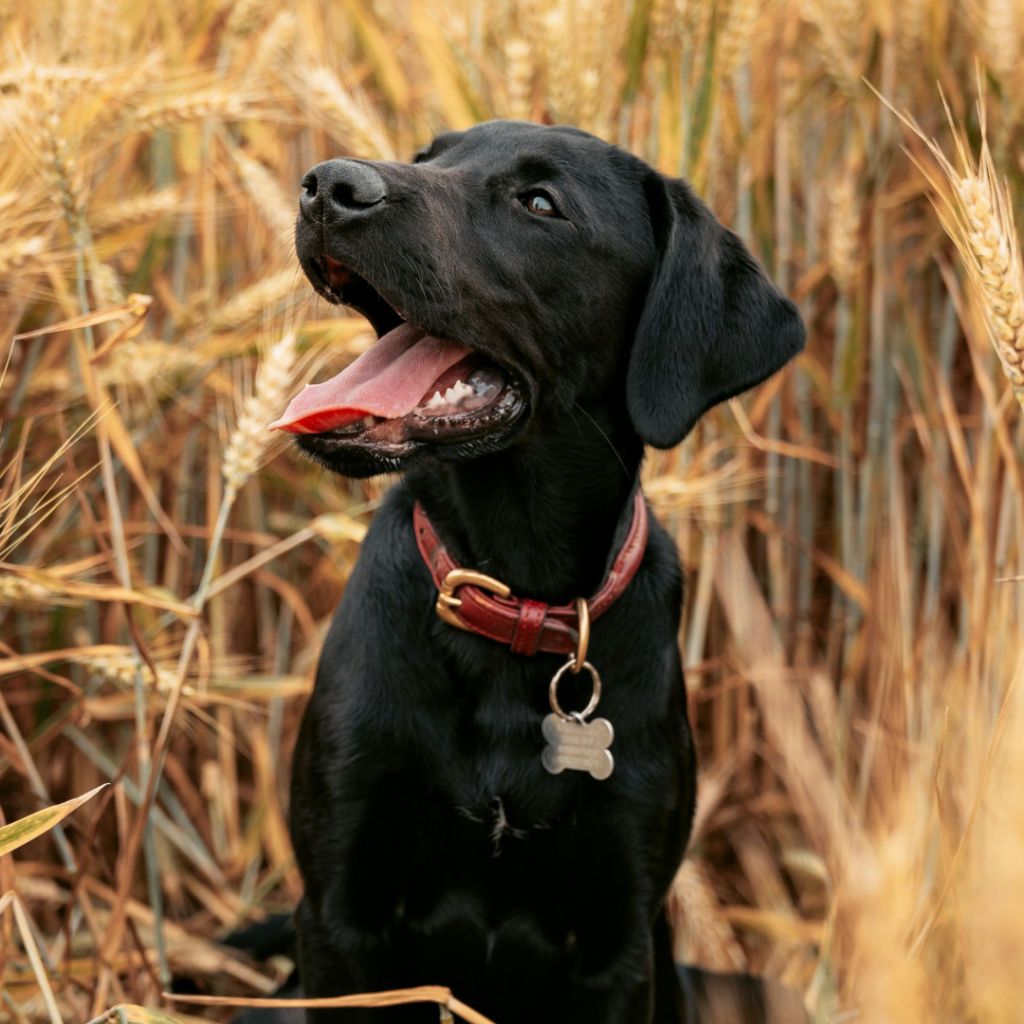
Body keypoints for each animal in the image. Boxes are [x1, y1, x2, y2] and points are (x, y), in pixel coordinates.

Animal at [276, 121, 802, 1024]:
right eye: (428, 159)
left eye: (540, 203)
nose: (327, 185)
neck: (513, 597)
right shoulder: (340, 912)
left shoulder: (618, 946)